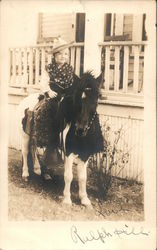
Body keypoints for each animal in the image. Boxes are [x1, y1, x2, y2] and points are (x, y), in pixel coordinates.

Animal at [16, 71, 103, 206]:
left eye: (96, 98)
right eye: (76, 98)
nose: (80, 129)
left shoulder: (85, 154)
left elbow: (83, 177)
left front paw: (84, 199)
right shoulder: (68, 153)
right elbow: (68, 176)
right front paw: (67, 199)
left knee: (34, 149)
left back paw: (39, 170)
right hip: (25, 135)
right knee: (25, 152)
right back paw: (25, 174)